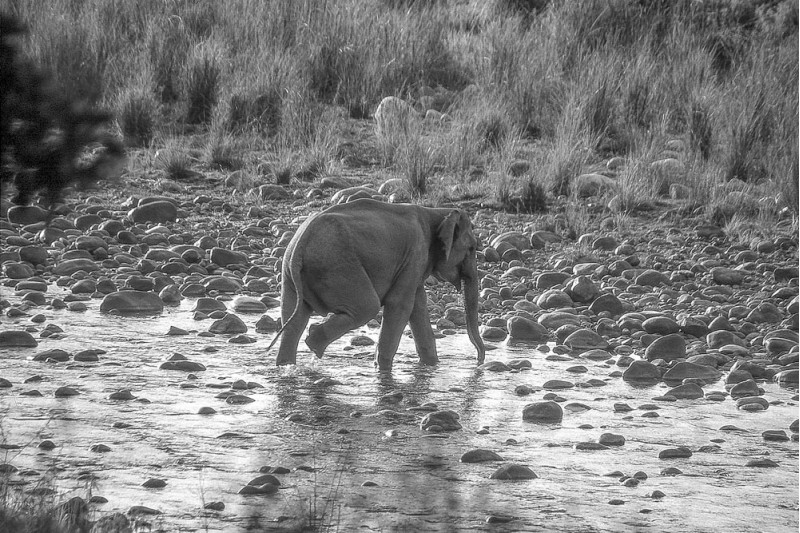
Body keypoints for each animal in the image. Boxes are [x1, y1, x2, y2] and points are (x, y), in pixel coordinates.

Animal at [268, 198, 484, 370]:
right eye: (472, 248)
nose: (479, 362)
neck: (436, 212)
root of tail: (302, 241)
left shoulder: (413, 264)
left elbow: (418, 306)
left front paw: (431, 365)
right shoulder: (415, 254)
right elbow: (400, 305)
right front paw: (383, 370)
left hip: (291, 271)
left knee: (294, 319)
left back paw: (286, 365)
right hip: (338, 267)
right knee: (367, 307)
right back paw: (313, 343)